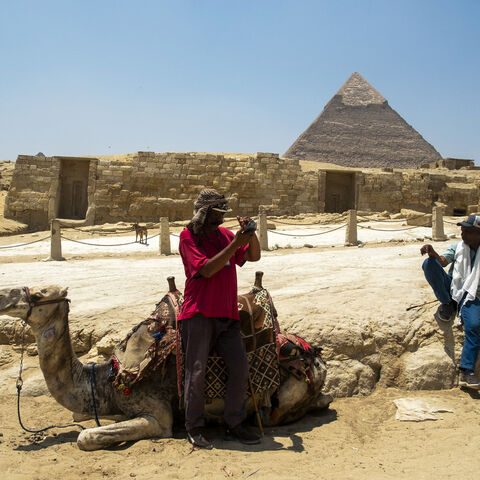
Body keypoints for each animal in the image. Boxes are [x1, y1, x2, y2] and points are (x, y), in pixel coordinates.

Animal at [0, 276, 330, 452]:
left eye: (39, 293)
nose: (3, 296)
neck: (109, 378)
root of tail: (317, 360)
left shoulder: (157, 416)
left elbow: (86, 435)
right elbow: (79, 416)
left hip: (283, 398)